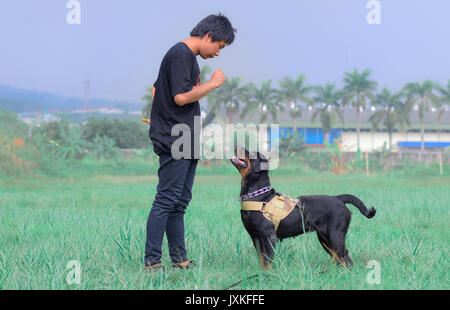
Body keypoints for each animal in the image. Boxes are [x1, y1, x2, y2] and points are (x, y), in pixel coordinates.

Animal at [230, 147, 374, 268]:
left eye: (253, 153)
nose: (238, 145)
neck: (259, 196)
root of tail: (338, 198)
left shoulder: (268, 236)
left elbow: (266, 261)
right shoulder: (255, 236)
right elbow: (261, 260)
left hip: (335, 236)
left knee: (346, 259)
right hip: (325, 239)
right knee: (339, 258)